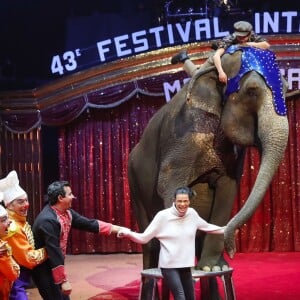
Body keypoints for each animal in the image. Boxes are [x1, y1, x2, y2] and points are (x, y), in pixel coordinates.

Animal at [127, 45, 290, 292]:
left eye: (287, 88)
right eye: (252, 91)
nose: (232, 250)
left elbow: (228, 190)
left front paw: (213, 267)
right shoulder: (184, 132)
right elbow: (168, 185)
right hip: (134, 182)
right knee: (149, 240)